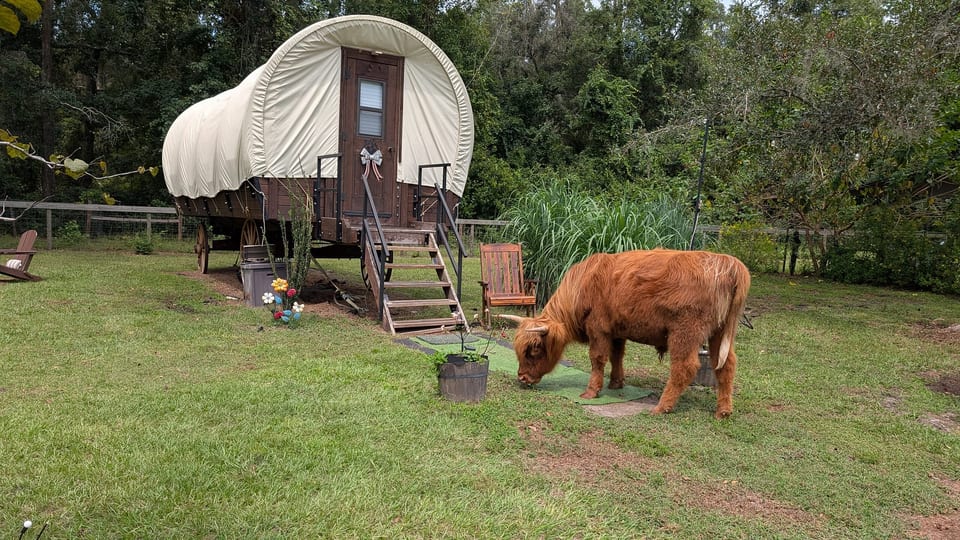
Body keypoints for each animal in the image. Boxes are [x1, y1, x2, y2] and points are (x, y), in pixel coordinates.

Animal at [502, 249, 750, 419]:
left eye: (534, 349)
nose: (522, 377)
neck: (583, 286)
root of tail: (727, 262)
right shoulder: (617, 331)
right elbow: (617, 356)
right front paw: (616, 383)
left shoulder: (598, 329)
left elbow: (598, 359)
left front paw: (591, 392)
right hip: (719, 333)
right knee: (726, 366)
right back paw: (723, 411)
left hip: (685, 332)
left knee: (684, 367)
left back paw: (662, 407)